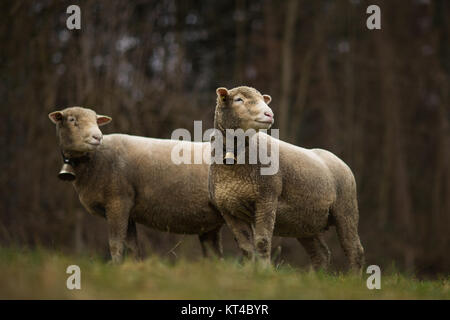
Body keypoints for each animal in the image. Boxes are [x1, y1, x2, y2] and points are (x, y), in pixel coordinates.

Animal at [48, 107, 222, 262]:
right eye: (72, 120)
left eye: (96, 121)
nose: (97, 137)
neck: (94, 159)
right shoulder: (128, 212)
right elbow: (132, 246)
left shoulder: (118, 202)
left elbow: (115, 245)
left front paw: (116, 267)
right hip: (209, 222)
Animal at [208, 86, 366, 272]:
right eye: (238, 99)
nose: (269, 114)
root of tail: (337, 159)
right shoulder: (228, 209)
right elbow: (246, 247)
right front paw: (250, 271)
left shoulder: (267, 197)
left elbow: (262, 241)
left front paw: (264, 271)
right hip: (304, 220)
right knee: (321, 253)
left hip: (346, 208)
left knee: (354, 249)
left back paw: (353, 276)